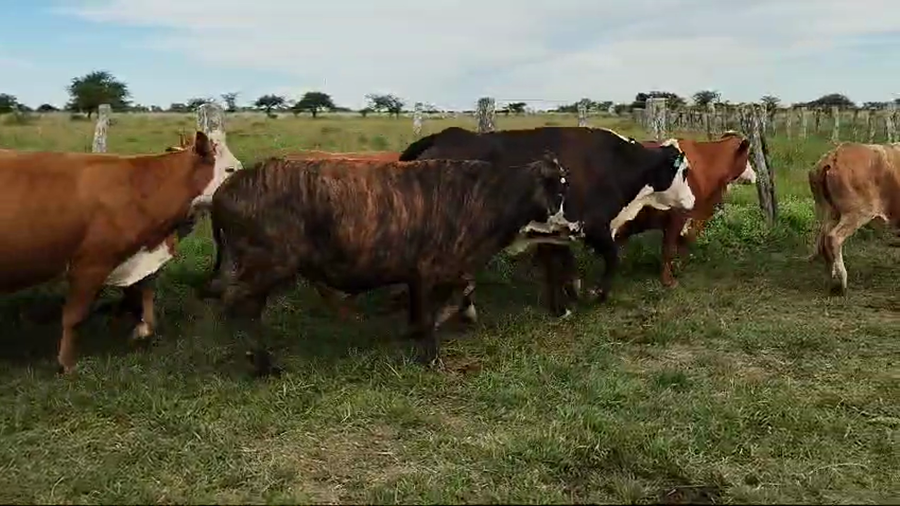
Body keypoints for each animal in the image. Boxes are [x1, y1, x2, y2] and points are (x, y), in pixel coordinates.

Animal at [0, 131, 232, 374]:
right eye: (230, 170)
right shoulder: (90, 265)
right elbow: (74, 317)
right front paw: (67, 364)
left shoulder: (134, 255)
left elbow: (143, 294)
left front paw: (142, 329)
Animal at [204, 154, 580, 376]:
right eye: (558, 192)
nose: (577, 226)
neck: (485, 199)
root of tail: (224, 190)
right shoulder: (432, 269)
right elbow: (431, 314)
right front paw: (431, 357)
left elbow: (439, 304)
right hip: (264, 266)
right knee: (240, 306)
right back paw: (263, 364)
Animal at [397, 126, 696, 317]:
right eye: (683, 171)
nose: (692, 200)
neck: (614, 162)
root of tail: (443, 135)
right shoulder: (594, 226)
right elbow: (612, 259)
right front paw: (595, 295)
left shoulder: (554, 231)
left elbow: (557, 267)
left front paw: (565, 301)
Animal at [607, 131, 754, 287]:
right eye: (747, 156)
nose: (754, 175)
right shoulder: (677, 217)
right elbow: (669, 248)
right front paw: (668, 280)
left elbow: (681, 245)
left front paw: (679, 268)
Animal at [808, 142, 900, 295]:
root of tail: (832, 158)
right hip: (857, 212)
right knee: (833, 237)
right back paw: (843, 282)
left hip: (830, 211)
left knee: (823, 239)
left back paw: (829, 280)